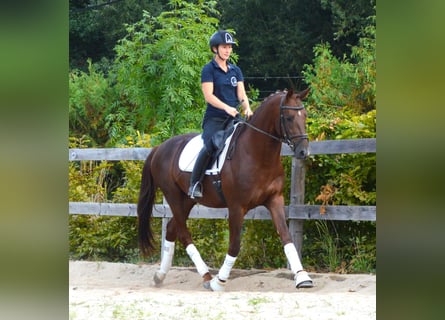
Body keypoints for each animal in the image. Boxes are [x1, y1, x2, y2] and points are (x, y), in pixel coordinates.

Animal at [137, 87, 314, 290]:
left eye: (305, 116)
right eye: (289, 118)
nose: (303, 152)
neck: (257, 154)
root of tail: (159, 148)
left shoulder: (274, 199)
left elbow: (286, 236)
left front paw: (302, 277)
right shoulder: (236, 207)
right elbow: (235, 245)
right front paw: (219, 281)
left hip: (187, 200)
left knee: (172, 228)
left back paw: (160, 275)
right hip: (173, 195)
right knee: (182, 232)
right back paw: (207, 276)